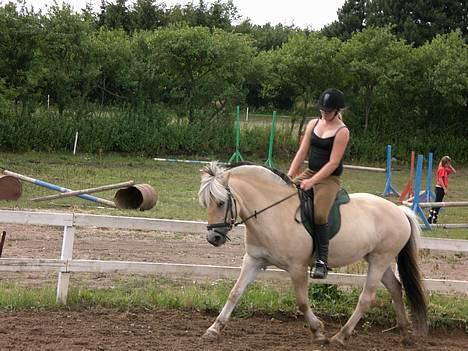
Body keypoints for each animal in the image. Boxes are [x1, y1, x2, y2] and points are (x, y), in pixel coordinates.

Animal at [197, 163, 428, 346]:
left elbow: (302, 302)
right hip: (377, 259)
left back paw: (340, 337)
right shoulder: (253, 260)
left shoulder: (297, 267)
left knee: (366, 298)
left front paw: (318, 332)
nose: (213, 238)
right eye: (206, 203)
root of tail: (400, 211)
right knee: (395, 288)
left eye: (221, 203)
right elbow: (235, 293)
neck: (272, 213)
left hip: (380, 259)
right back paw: (405, 333)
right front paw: (213, 329)